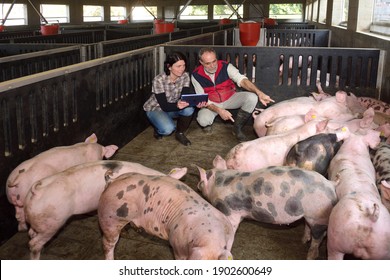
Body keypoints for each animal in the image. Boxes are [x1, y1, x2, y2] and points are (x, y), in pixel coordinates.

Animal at [197, 164, 336, 260]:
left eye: (202, 180)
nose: (198, 185)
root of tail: (331, 184)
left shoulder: (230, 211)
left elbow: (231, 230)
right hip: (309, 215)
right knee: (308, 226)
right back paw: (303, 240)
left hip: (318, 216)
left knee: (319, 237)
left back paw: (309, 256)